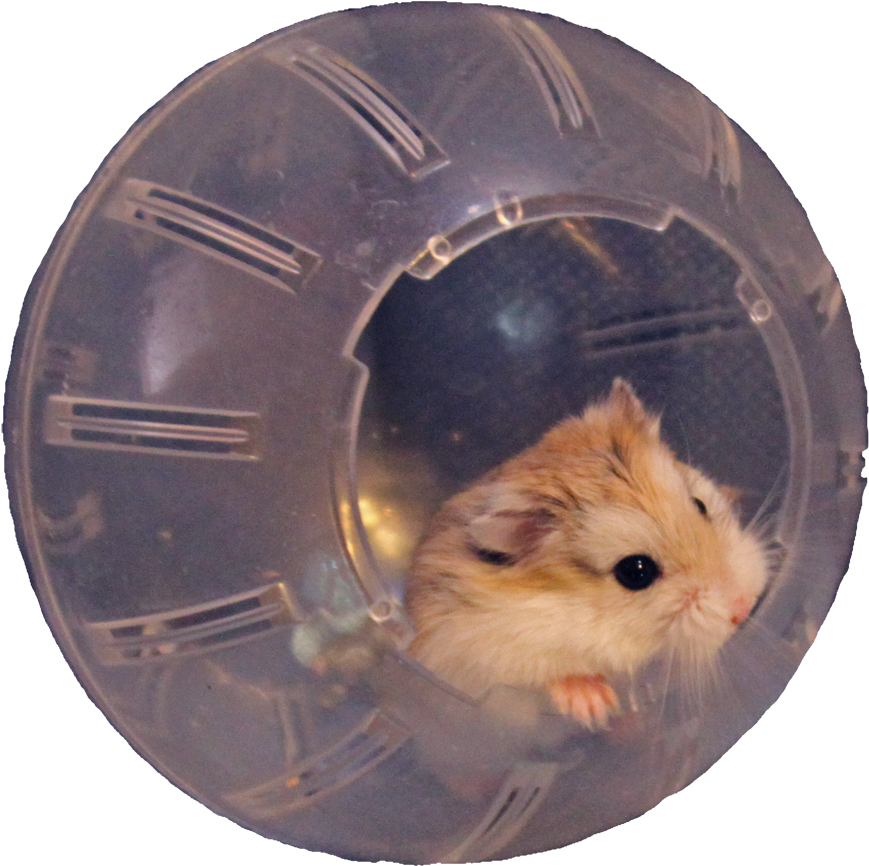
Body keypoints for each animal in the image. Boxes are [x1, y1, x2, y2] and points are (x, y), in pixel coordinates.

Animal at [405, 379, 769, 729]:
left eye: (700, 505)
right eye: (636, 571)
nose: (745, 608)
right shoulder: (482, 654)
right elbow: (545, 675)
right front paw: (597, 708)